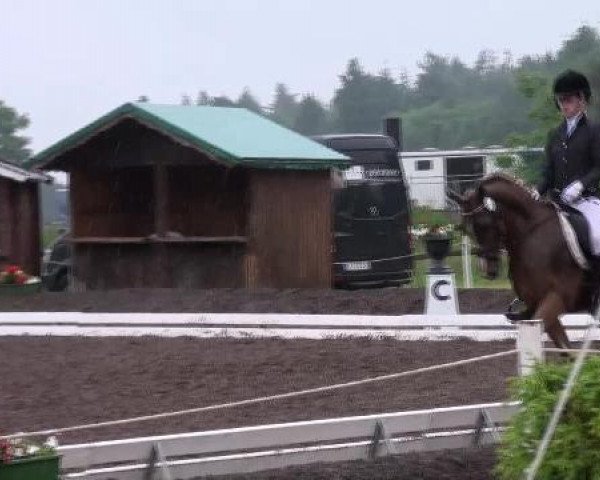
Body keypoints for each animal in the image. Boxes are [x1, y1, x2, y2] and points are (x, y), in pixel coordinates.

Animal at [448, 172, 596, 348]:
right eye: (465, 229)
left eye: (483, 223)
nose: (487, 270)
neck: (531, 233)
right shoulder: (537, 304)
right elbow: (565, 348)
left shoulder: (557, 299)